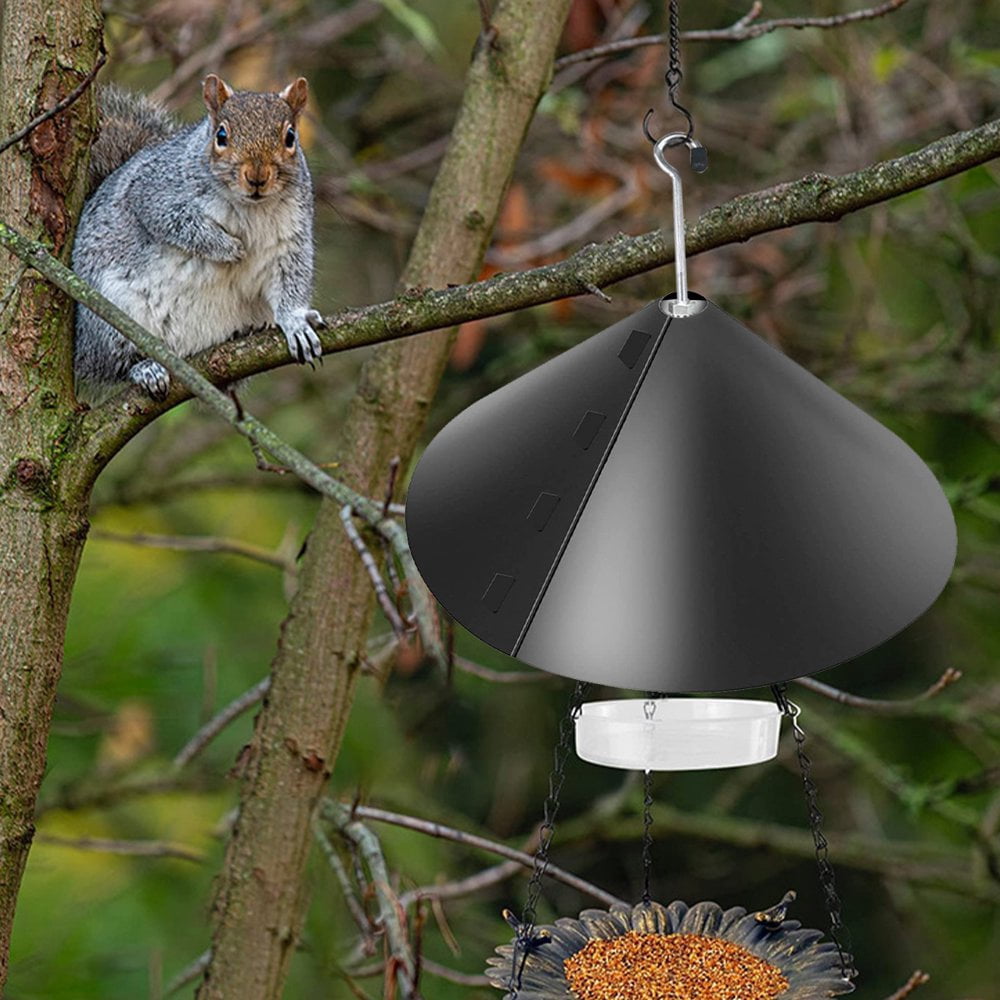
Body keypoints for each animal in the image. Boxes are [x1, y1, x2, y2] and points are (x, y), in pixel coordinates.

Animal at [72, 74, 324, 402]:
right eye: (221, 135)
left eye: (291, 137)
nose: (257, 177)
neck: (250, 207)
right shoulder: (153, 193)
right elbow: (176, 224)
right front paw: (229, 248)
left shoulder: (291, 239)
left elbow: (291, 280)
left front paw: (296, 323)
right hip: (108, 317)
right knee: (114, 364)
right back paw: (145, 369)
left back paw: (243, 334)